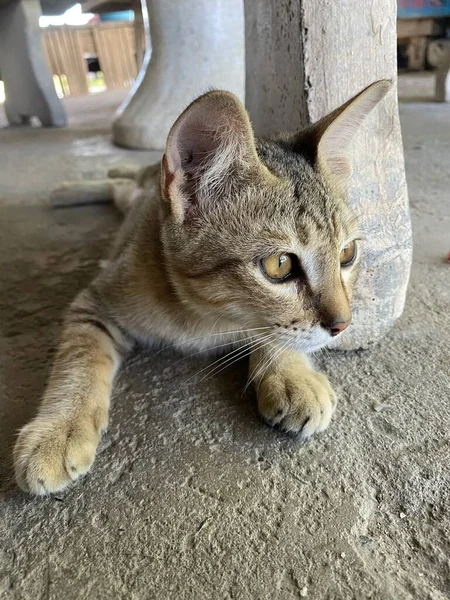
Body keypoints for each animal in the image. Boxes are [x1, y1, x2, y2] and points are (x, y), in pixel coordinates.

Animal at [13, 79, 390, 494]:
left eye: (347, 254)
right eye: (279, 265)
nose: (343, 324)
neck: (202, 315)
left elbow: (271, 333)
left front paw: (291, 373)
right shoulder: (94, 302)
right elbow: (80, 358)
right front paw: (59, 430)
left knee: (124, 184)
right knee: (122, 184)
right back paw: (72, 188)